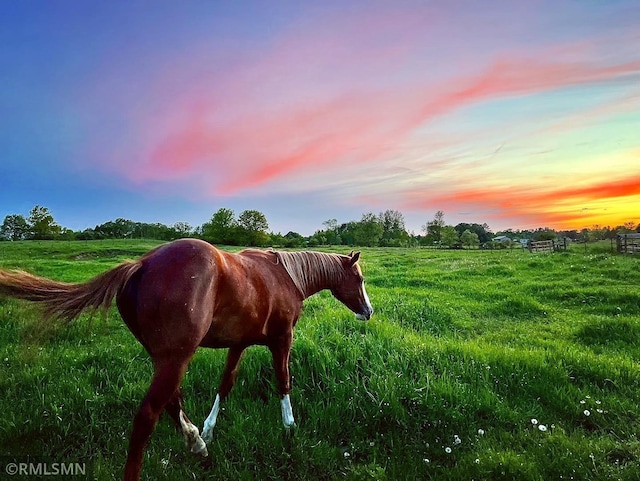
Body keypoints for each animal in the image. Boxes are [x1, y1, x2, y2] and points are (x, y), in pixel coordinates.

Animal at [0, 238, 370, 478]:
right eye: (360, 278)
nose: (368, 311)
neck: (285, 276)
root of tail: (140, 264)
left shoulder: (239, 344)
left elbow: (226, 384)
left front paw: (208, 431)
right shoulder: (282, 340)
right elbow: (283, 381)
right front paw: (290, 428)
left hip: (167, 358)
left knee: (171, 401)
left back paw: (197, 444)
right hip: (176, 358)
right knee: (148, 416)